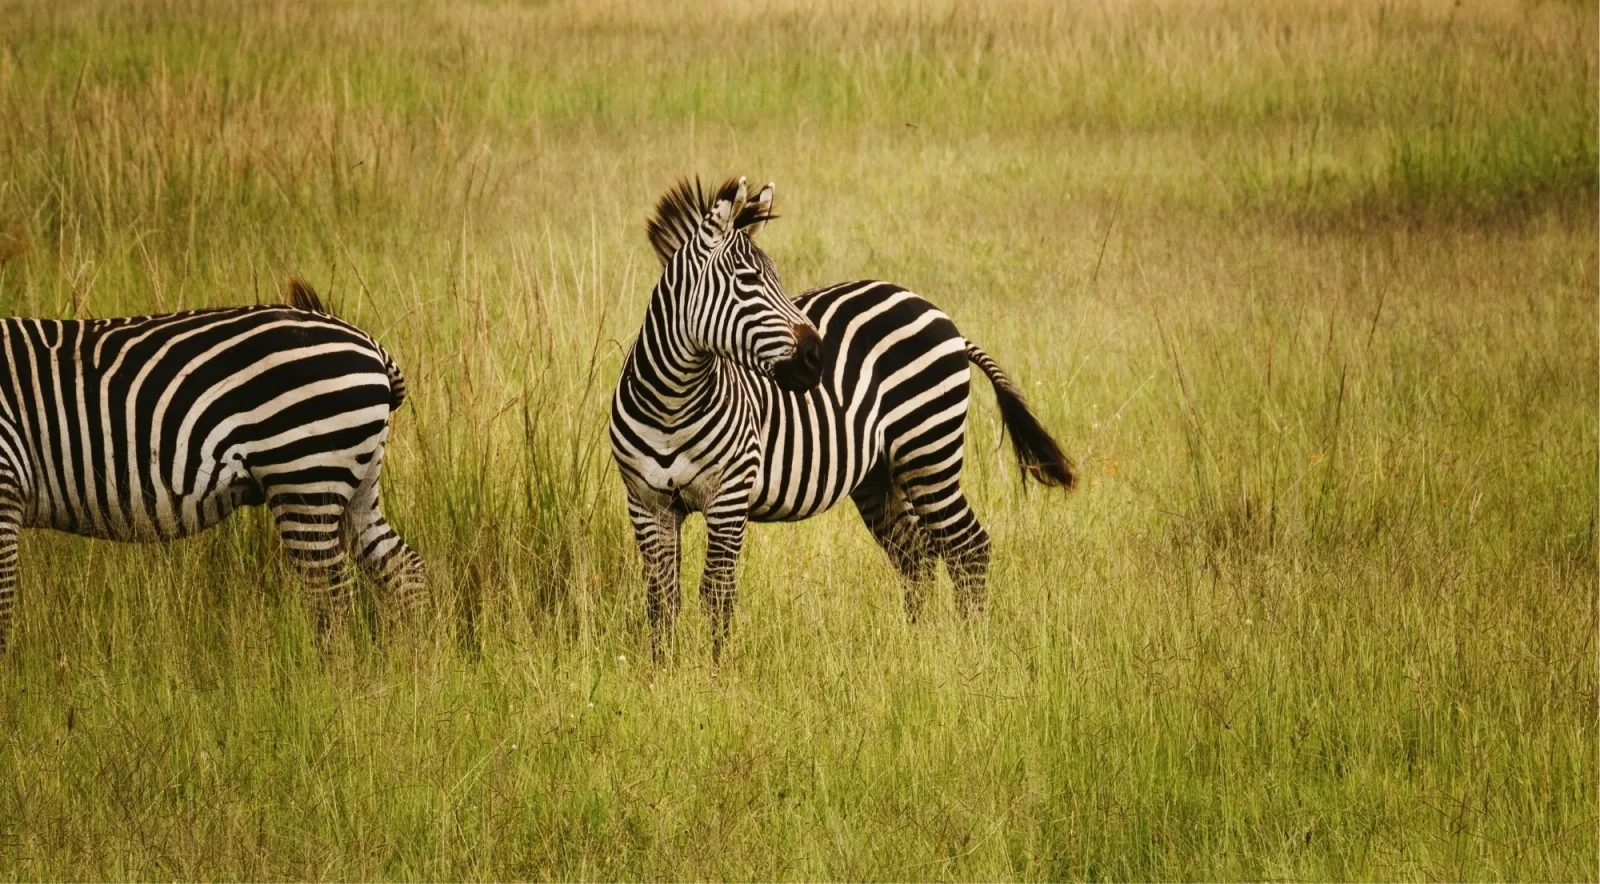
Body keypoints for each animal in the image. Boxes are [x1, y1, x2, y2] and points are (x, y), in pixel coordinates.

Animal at [0, 279, 424, 651]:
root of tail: (369, 344)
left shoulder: (5, 488)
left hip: (304, 477)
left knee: (332, 595)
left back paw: (334, 681)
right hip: (355, 483)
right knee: (404, 571)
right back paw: (411, 665)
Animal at [611, 176, 1074, 660]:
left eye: (777, 278)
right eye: (749, 280)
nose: (819, 356)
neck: (671, 403)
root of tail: (936, 311)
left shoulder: (729, 497)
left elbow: (717, 593)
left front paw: (715, 673)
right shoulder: (647, 504)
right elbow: (661, 599)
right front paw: (664, 670)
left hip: (928, 453)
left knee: (968, 546)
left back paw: (971, 646)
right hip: (880, 475)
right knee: (917, 557)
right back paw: (918, 648)